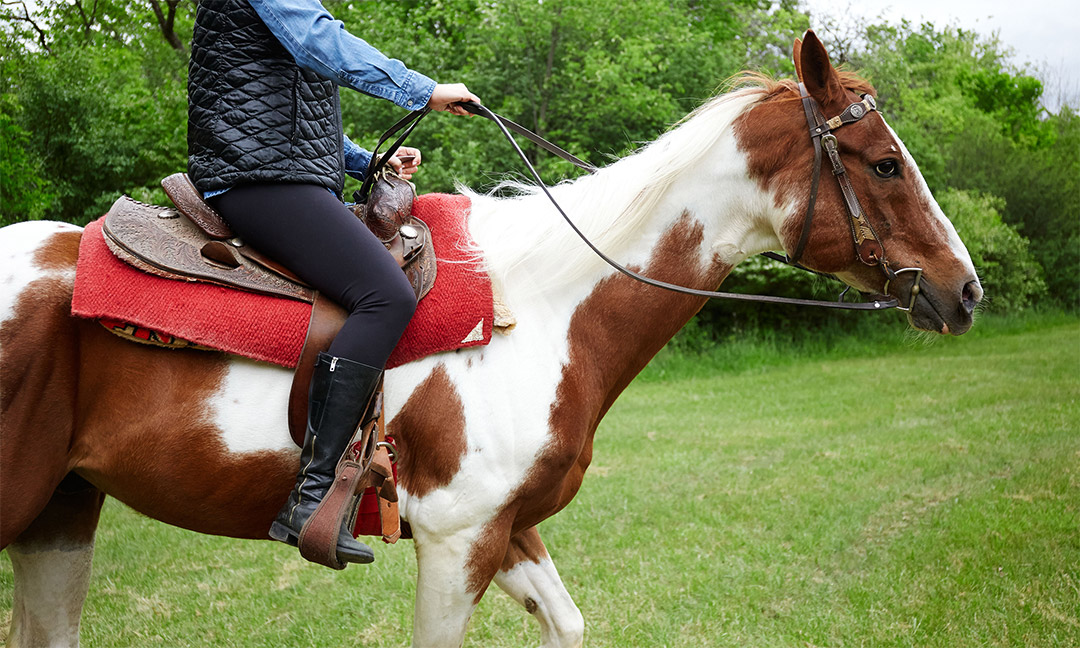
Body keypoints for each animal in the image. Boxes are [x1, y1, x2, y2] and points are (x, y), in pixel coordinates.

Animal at [0, 34, 980, 648]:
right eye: (885, 163)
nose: (964, 291)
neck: (545, 310)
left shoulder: (510, 530)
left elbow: (567, 623)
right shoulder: (456, 538)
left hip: (61, 512)